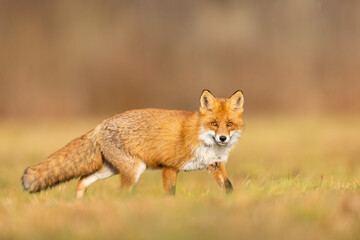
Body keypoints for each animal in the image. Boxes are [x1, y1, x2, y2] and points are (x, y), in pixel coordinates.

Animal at [21, 89, 245, 198]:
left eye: (229, 124)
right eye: (214, 123)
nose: (223, 138)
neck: (201, 137)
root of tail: (100, 125)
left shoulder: (215, 165)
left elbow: (229, 187)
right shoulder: (169, 167)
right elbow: (170, 194)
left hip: (110, 169)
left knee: (82, 181)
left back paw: (79, 205)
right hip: (134, 170)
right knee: (120, 193)